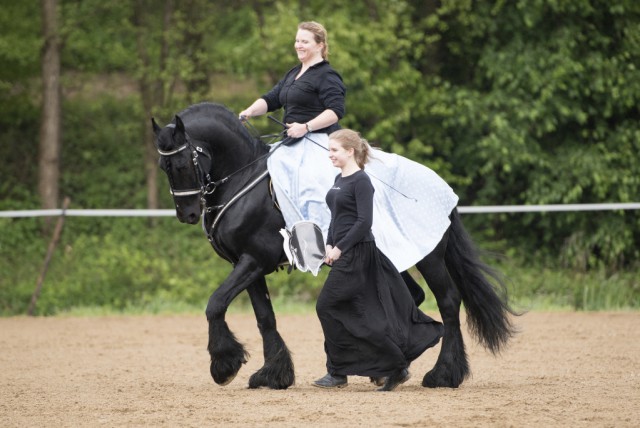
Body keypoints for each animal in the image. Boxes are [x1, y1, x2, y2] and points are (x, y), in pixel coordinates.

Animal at [152, 102, 516, 390]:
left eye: (181, 164)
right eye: (163, 166)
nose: (187, 214)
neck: (242, 180)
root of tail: (441, 184)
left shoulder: (253, 260)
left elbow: (215, 304)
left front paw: (224, 366)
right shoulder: (248, 264)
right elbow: (264, 317)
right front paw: (273, 374)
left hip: (429, 257)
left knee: (449, 302)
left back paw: (443, 375)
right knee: (416, 297)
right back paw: (388, 370)